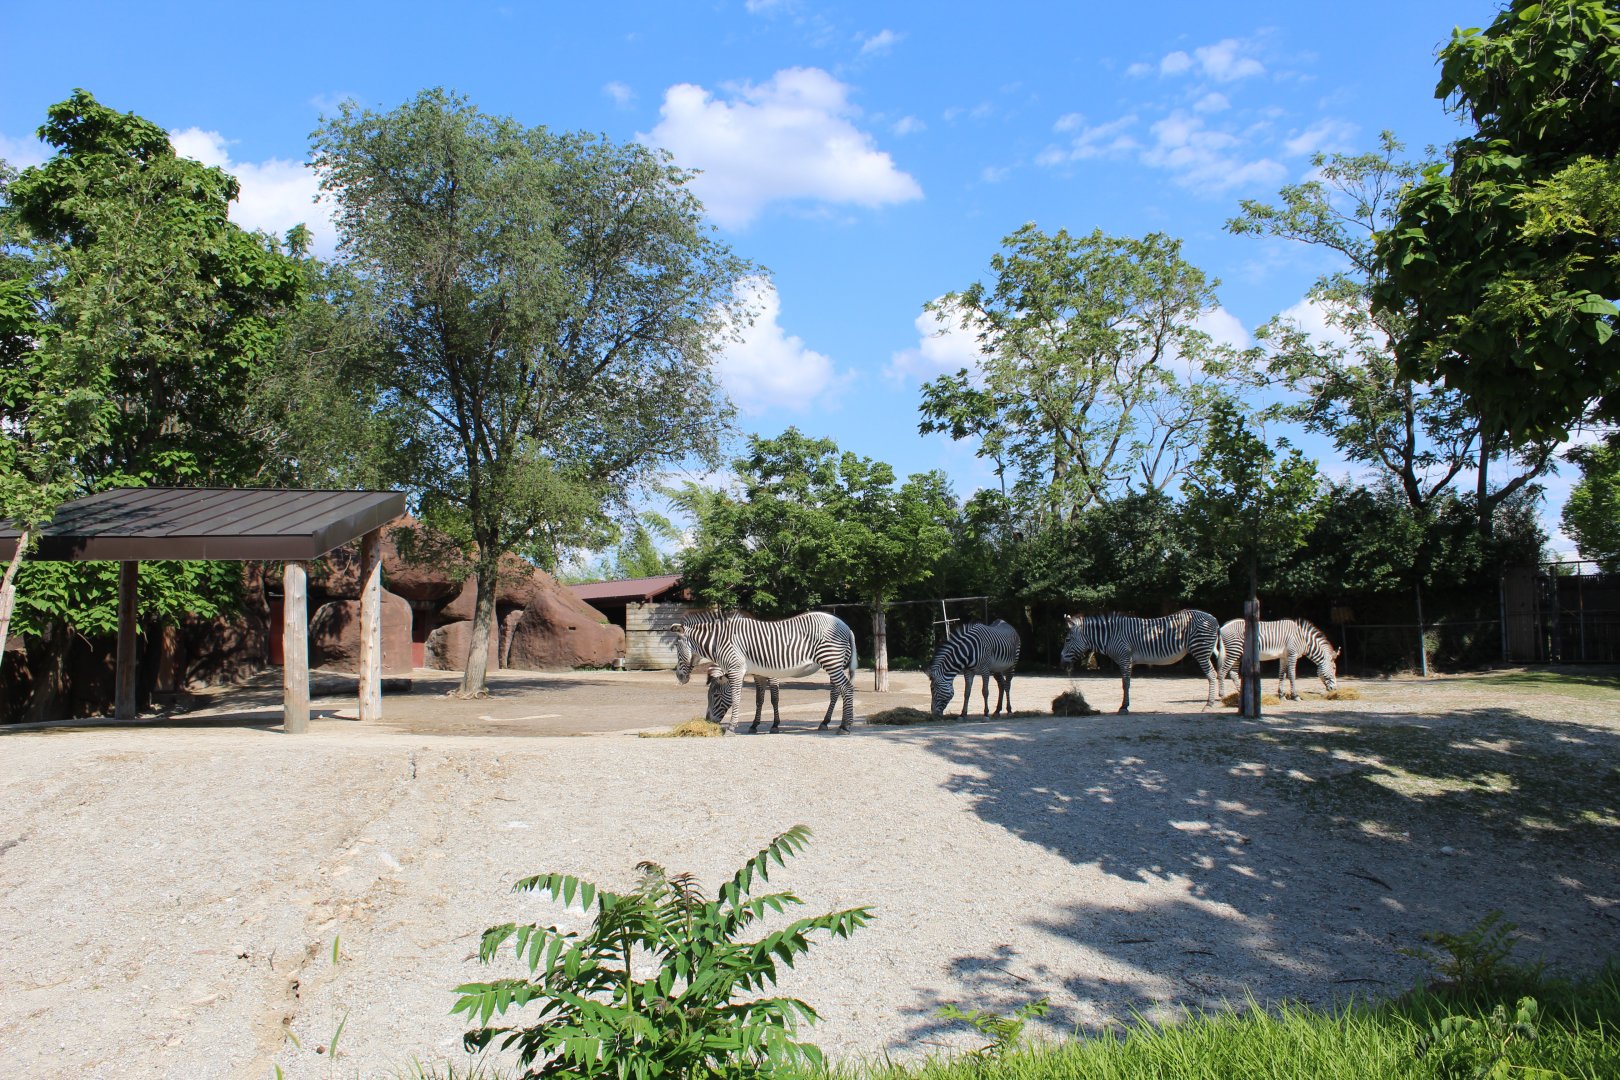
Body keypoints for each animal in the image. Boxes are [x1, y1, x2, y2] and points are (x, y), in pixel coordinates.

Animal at [671, 612, 857, 733]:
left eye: (715, 696)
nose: (708, 721)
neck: (721, 641)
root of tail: (845, 626)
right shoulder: (758, 674)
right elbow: (759, 700)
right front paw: (754, 725)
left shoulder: (738, 670)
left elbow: (747, 698)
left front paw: (733, 727)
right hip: (834, 664)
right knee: (837, 691)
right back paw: (829, 723)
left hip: (831, 661)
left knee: (846, 688)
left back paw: (845, 727)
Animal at [1059, 609, 1221, 714]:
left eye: (1067, 640)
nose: (1061, 663)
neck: (1111, 636)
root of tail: (1214, 619)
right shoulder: (1127, 660)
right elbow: (1126, 683)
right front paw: (1125, 705)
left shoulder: (1125, 658)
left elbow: (1125, 684)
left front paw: (1123, 707)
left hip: (1200, 650)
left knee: (1212, 675)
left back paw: (1209, 705)